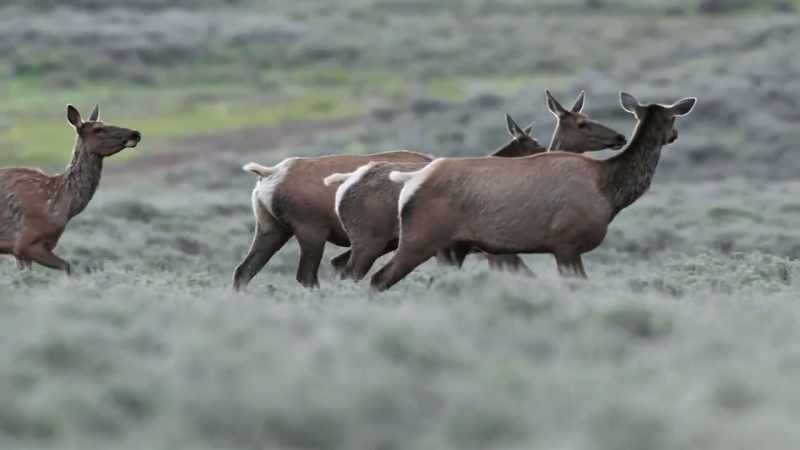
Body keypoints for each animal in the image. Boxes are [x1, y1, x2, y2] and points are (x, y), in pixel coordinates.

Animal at [323, 90, 627, 282]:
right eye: (582, 123)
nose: (619, 136)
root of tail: (344, 186)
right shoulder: (491, 250)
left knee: (339, 264)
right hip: (372, 239)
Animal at [369, 92, 696, 292]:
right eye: (673, 118)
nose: (675, 134)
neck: (609, 193)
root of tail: (412, 181)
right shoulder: (566, 243)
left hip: (453, 246)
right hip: (420, 238)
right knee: (378, 278)